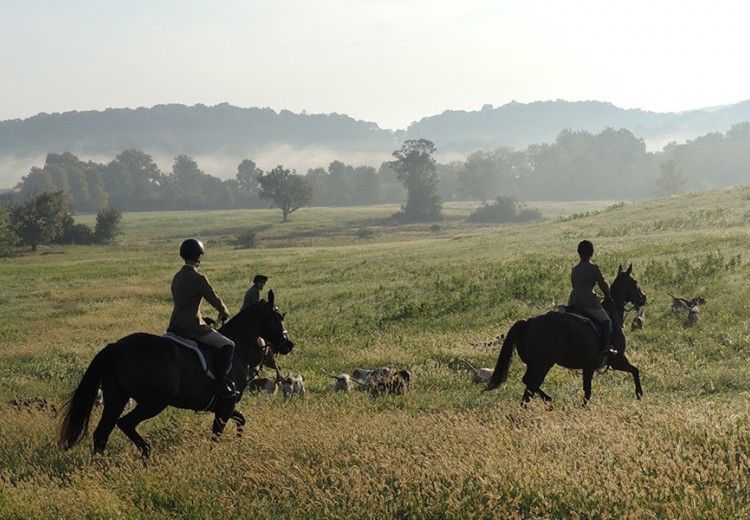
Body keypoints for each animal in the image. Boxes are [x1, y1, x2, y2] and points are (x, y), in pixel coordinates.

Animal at [58, 290, 294, 458]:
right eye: (278, 316)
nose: (288, 344)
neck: (239, 350)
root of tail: (117, 347)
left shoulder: (222, 406)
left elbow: (241, 420)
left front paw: (238, 445)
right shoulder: (225, 405)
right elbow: (217, 435)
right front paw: (215, 457)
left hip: (116, 398)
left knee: (101, 434)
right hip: (154, 401)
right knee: (125, 423)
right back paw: (146, 452)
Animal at [488, 266, 648, 404]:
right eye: (634, 282)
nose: (643, 298)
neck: (612, 313)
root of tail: (529, 322)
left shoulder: (588, 367)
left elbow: (587, 391)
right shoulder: (617, 360)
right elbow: (635, 370)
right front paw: (639, 394)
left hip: (533, 364)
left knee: (527, 383)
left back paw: (547, 401)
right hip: (542, 365)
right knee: (530, 387)